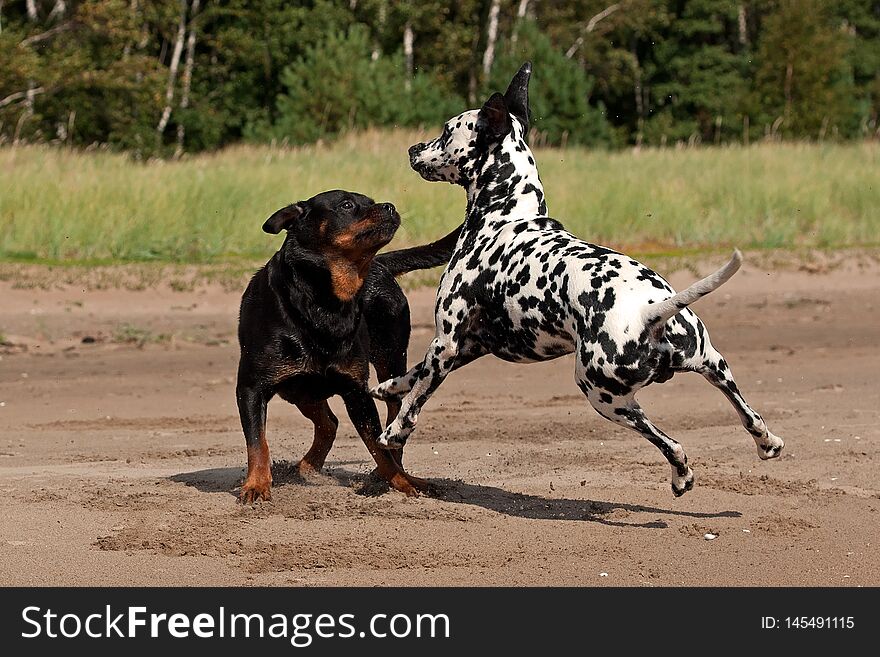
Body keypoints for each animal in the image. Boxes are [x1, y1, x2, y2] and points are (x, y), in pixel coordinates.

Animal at [239, 190, 460, 502]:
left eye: (372, 201)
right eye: (346, 205)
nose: (389, 206)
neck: (325, 303)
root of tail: (381, 264)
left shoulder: (357, 391)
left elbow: (378, 446)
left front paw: (403, 481)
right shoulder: (251, 388)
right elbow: (258, 442)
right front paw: (257, 485)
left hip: (390, 360)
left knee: (391, 421)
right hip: (299, 389)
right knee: (329, 422)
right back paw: (307, 466)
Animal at [372, 64, 784, 494]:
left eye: (447, 130)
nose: (413, 148)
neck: (506, 217)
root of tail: (651, 311)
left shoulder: (447, 342)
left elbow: (417, 398)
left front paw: (395, 431)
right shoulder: (470, 346)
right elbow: (413, 375)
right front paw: (388, 386)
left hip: (603, 396)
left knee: (671, 443)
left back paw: (681, 475)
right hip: (713, 365)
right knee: (749, 415)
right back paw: (766, 443)